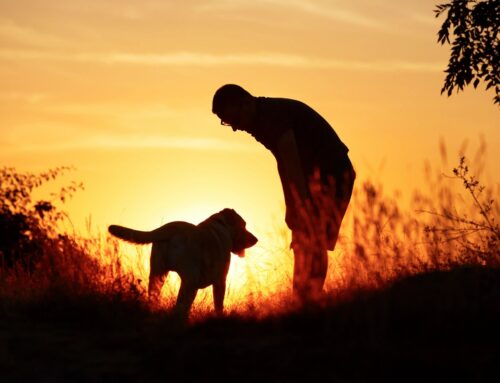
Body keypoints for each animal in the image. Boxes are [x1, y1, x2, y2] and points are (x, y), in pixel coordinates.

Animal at [109, 210, 258, 318]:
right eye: (244, 225)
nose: (256, 239)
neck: (221, 226)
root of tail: (171, 228)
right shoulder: (220, 281)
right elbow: (218, 305)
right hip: (189, 281)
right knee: (180, 307)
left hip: (157, 274)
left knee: (156, 298)